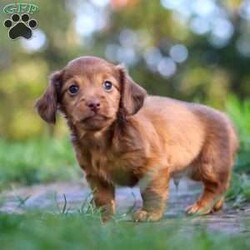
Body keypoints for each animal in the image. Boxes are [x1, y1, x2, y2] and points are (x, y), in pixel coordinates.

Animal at [35, 56, 238, 221]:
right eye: (73, 89)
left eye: (108, 85)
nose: (94, 104)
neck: (103, 139)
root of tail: (226, 118)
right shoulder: (95, 176)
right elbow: (103, 198)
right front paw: (104, 218)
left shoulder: (153, 167)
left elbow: (151, 192)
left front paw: (149, 214)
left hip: (209, 165)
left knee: (217, 185)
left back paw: (201, 207)